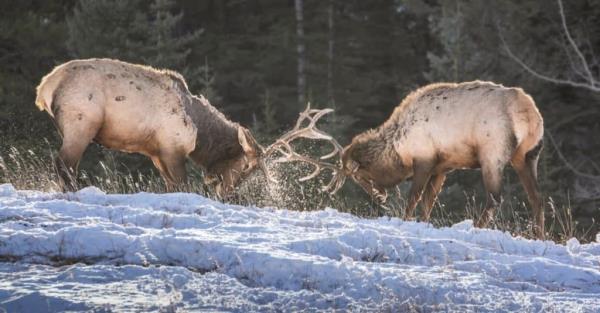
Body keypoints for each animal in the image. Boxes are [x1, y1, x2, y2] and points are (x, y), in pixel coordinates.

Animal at [36, 57, 270, 196]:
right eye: (246, 166)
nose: (228, 193)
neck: (200, 135)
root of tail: (45, 87)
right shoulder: (172, 148)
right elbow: (183, 185)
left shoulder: (156, 153)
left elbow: (170, 187)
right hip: (81, 124)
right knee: (64, 163)